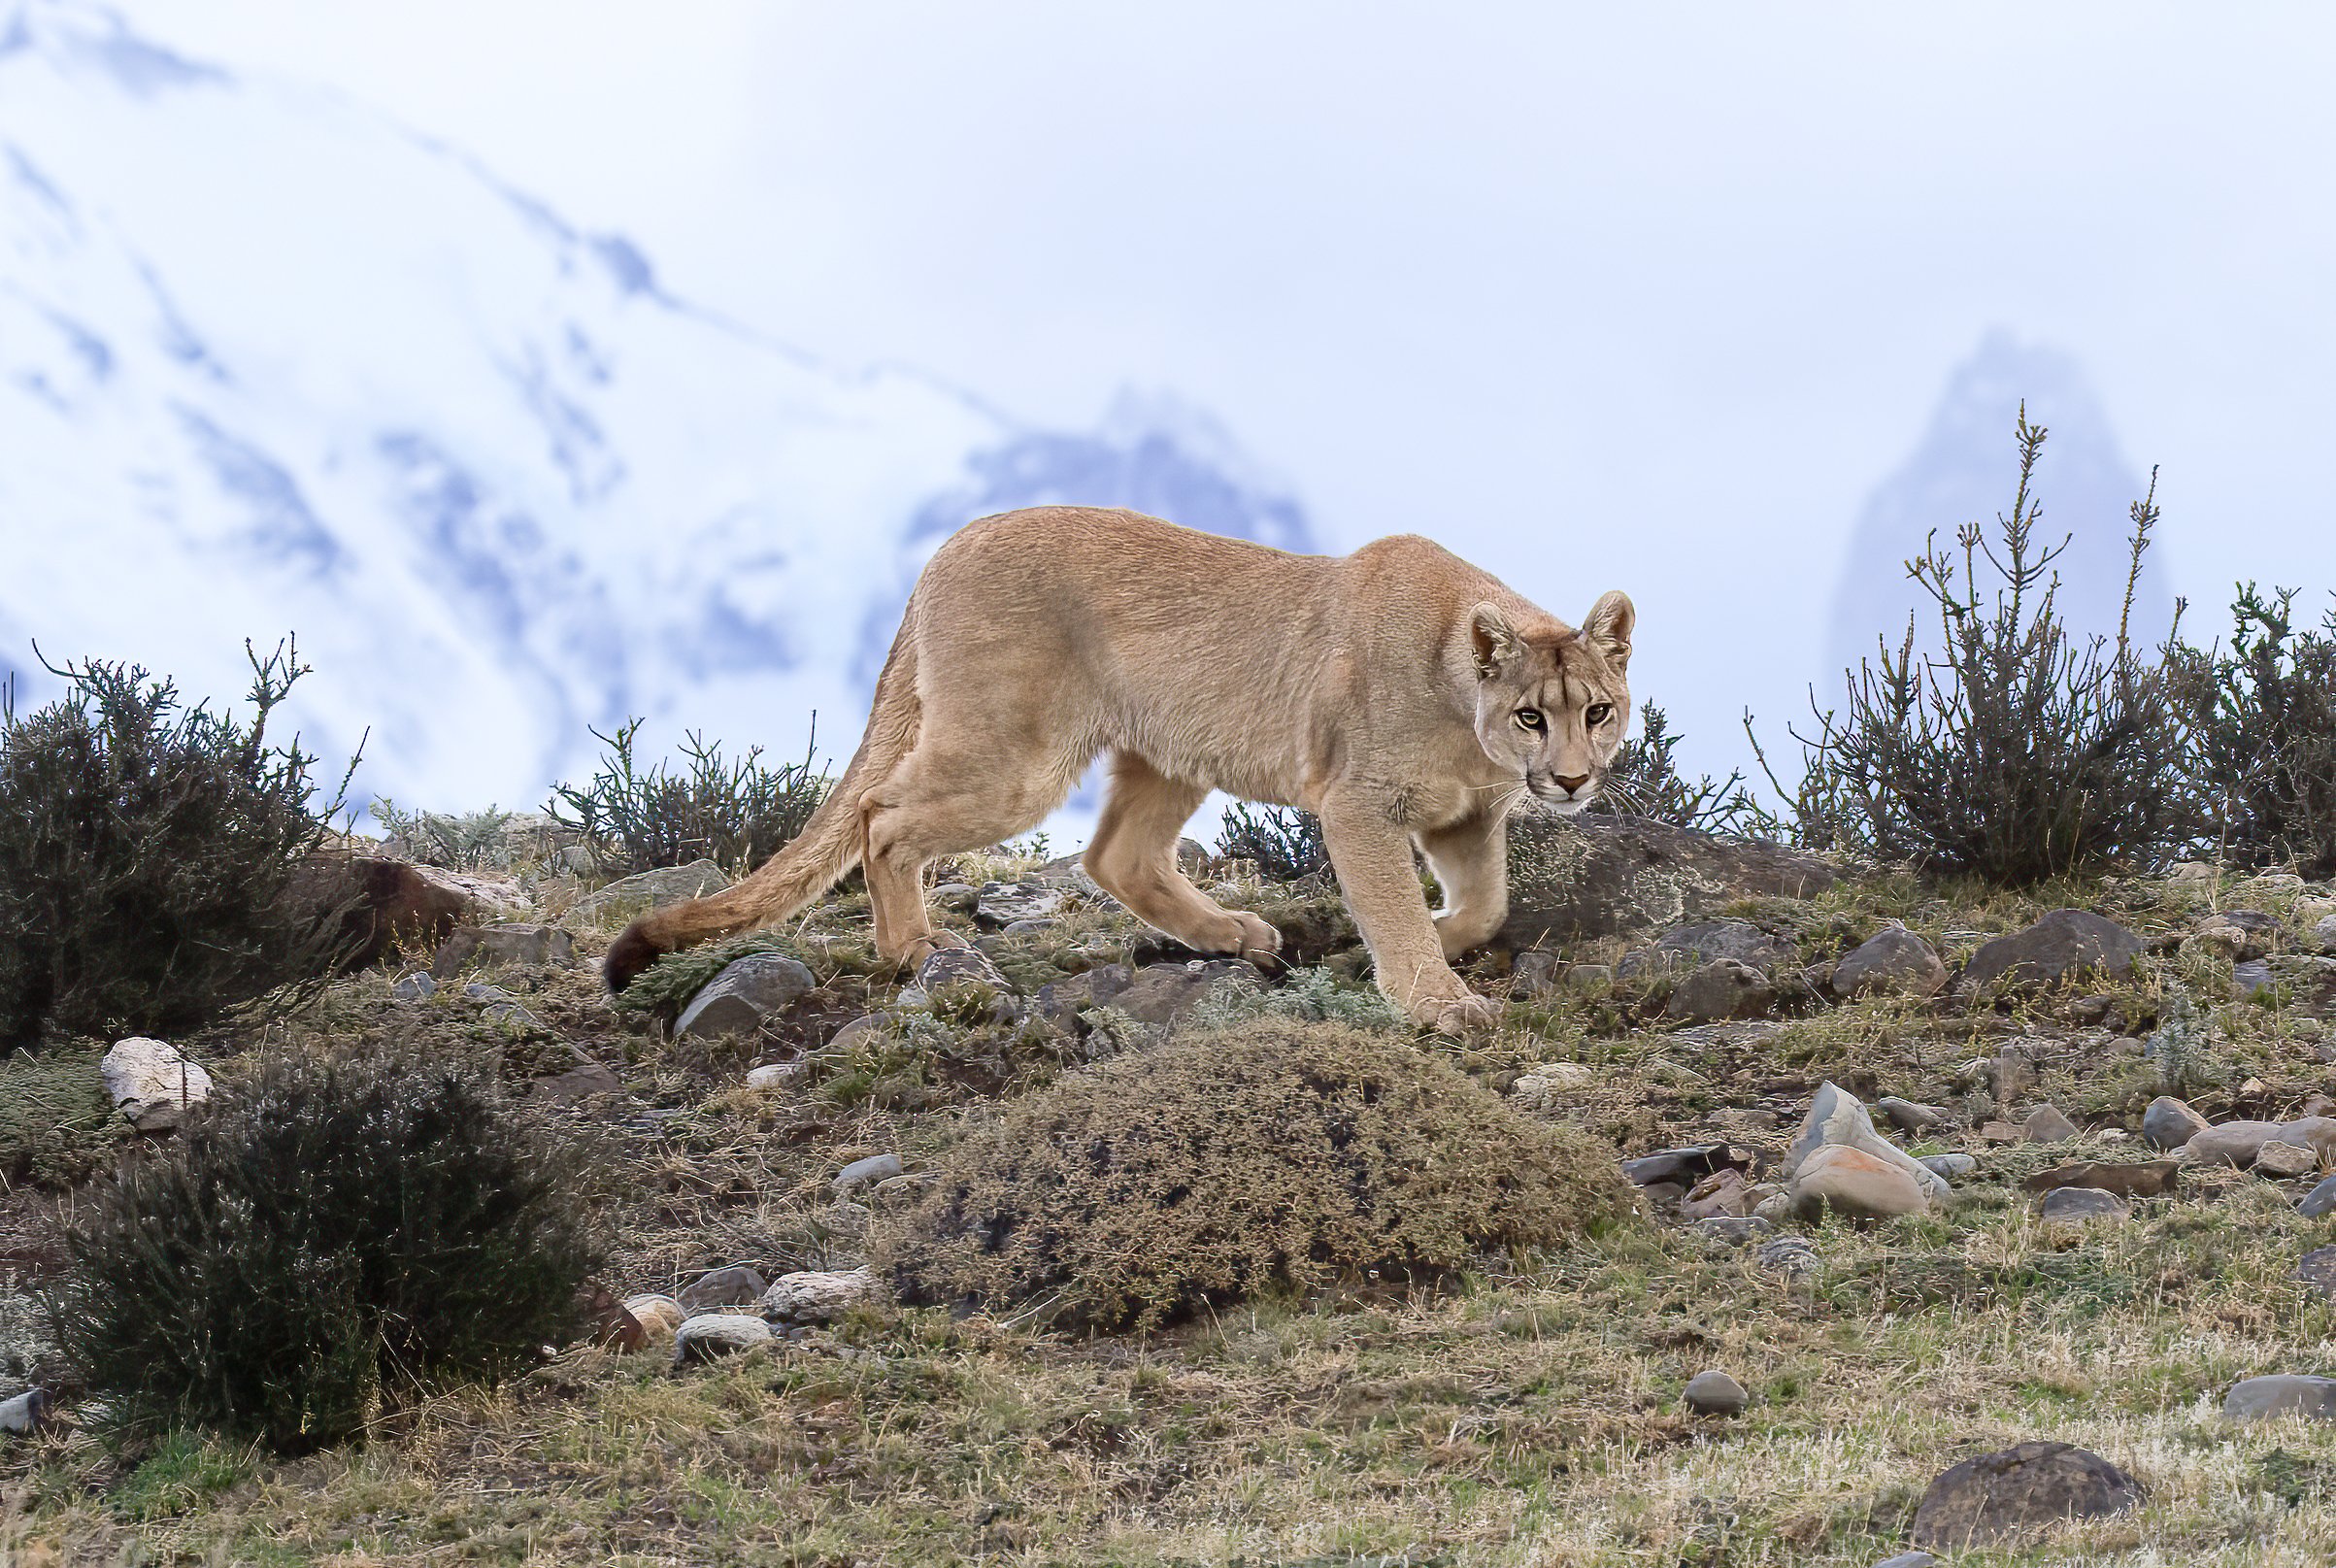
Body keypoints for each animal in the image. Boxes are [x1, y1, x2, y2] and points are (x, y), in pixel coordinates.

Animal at [602, 506, 1634, 1032]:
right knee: (884, 816)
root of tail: (949, 543)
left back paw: (1232, 935)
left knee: (1116, 855)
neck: (1467, 719)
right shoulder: (1358, 804)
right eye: (1533, 714)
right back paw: (918, 948)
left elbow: (1486, 903)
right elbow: (1391, 902)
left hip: (1167, 749)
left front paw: (1434, 941)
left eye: (1599, 711)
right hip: (1015, 755)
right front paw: (1435, 997)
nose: (1573, 780)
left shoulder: (1466, 814)